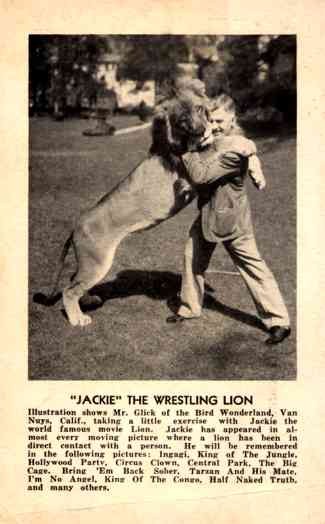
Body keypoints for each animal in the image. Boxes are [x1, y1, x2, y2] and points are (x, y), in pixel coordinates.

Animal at [35, 81, 211, 324]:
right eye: (183, 120)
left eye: (199, 109)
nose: (202, 130)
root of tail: (76, 226)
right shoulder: (189, 181)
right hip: (97, 262)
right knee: (69, 290)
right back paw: (78, 319)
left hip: (89, 264)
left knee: (73, 280)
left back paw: (90, 300)